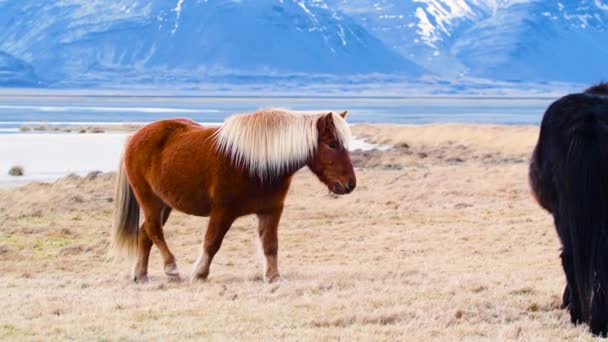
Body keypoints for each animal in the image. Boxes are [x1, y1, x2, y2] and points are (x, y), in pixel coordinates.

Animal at [113, 109, 356, 284]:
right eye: (332, 144)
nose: (350, 184)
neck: (257, 162)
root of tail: (135, 137)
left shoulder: (271, 211)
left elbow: (271, 245)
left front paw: (274, 277)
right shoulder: (223, 211)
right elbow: (212, 242)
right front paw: (199, 274)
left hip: (165, 204)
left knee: (146, 233)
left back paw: (141, 275)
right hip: (150, 200)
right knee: (154, 230)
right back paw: (171, 269)